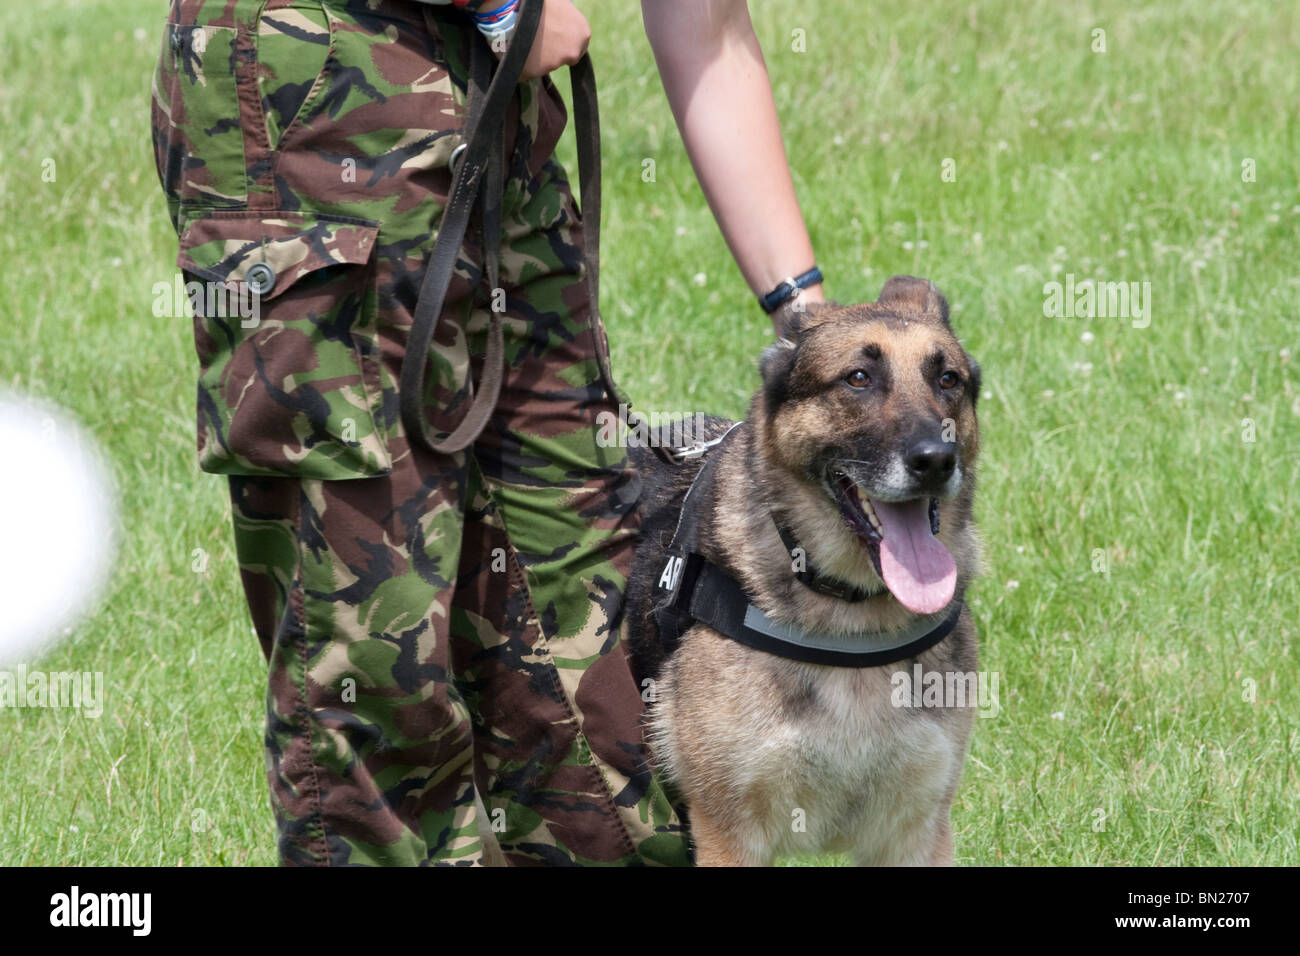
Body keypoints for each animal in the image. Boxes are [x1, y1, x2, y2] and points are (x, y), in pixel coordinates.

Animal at [624, 274, 977, 868]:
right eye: (858, 378)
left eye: (948, 378)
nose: (936, 460)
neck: (852, 618)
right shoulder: (729, 838)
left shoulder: (916, 833)